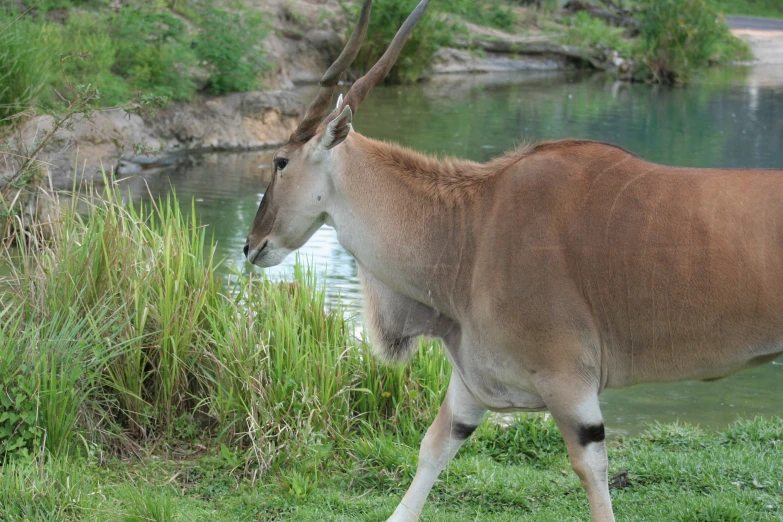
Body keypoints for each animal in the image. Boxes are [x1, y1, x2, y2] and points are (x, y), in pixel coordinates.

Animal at [245, 2, 783, 516]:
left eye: (279, 160)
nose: (251, 245)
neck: (473, 226)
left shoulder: (570, 386)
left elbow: (592, 475)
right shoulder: (472, 385)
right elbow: (433, 450)